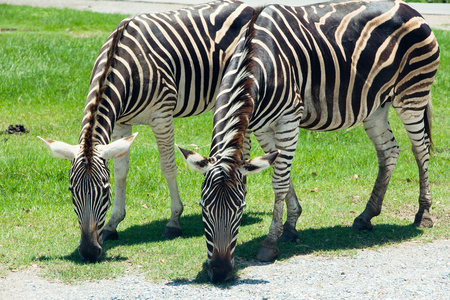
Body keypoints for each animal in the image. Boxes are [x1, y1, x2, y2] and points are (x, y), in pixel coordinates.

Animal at [37, 0, 256, 262]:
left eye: (104, 191)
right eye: (72, 191)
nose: (89, 252)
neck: (121, 63)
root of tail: (244, 5)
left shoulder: (162, 116)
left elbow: (168, 167)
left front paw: (173, 222)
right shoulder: (120, 123)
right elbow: (121, 171)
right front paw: (112, 225)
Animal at [179, 0, 440, 282]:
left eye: (241, 209)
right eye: (203, 208)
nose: (219, 272)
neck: (254, 59)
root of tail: (409, 8)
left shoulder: (288, 119)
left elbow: (279, 181)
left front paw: (270, 243)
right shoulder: (258, 127)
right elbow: (280, 171)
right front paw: (291, 226)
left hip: (412, 94)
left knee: (420, 150)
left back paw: (424, 213)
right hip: (376, 105)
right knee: (389, 151)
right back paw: (366, 216)